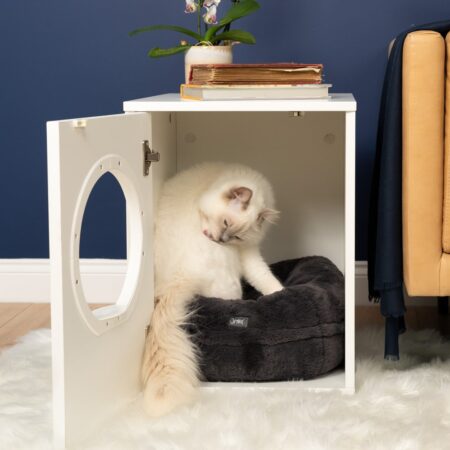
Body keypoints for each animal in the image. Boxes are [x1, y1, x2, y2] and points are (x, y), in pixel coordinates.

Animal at [142, 163, 282, 416]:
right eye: (226, 222)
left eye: (236, 235)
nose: (220, 240)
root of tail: (177, 278)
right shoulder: (244, 253)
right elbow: (262, 275)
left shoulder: (246, 248)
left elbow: (263, 276)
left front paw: (280, 291)